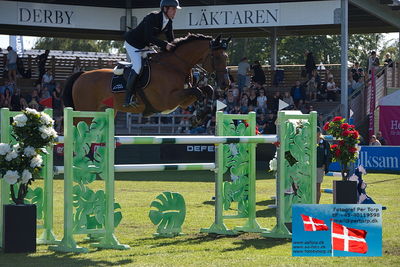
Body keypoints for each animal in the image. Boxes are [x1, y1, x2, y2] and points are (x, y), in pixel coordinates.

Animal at [62, 33, 231, 122]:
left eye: (226, 57)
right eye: (216, 57)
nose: (226, 84)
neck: (175, 65)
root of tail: (82, 75)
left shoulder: (182, 101)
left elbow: (206, 89)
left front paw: (205, 113)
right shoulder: (168, 100)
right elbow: (198, 91)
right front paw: (199, 116)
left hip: (104, 111)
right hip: (84, 112)